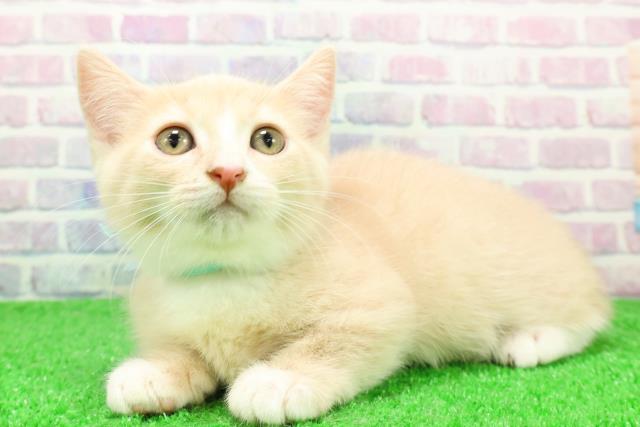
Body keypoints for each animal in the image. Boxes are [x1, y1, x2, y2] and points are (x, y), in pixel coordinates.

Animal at [76, 47, 611, 424]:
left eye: (267, 140)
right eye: (174, 140)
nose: (227, 171)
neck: (229, 276)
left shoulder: (382, 307)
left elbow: (333, 341)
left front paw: (278, 380)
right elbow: (180, 350)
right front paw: (153, 371)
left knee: (590, 314)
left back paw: (533, 337)